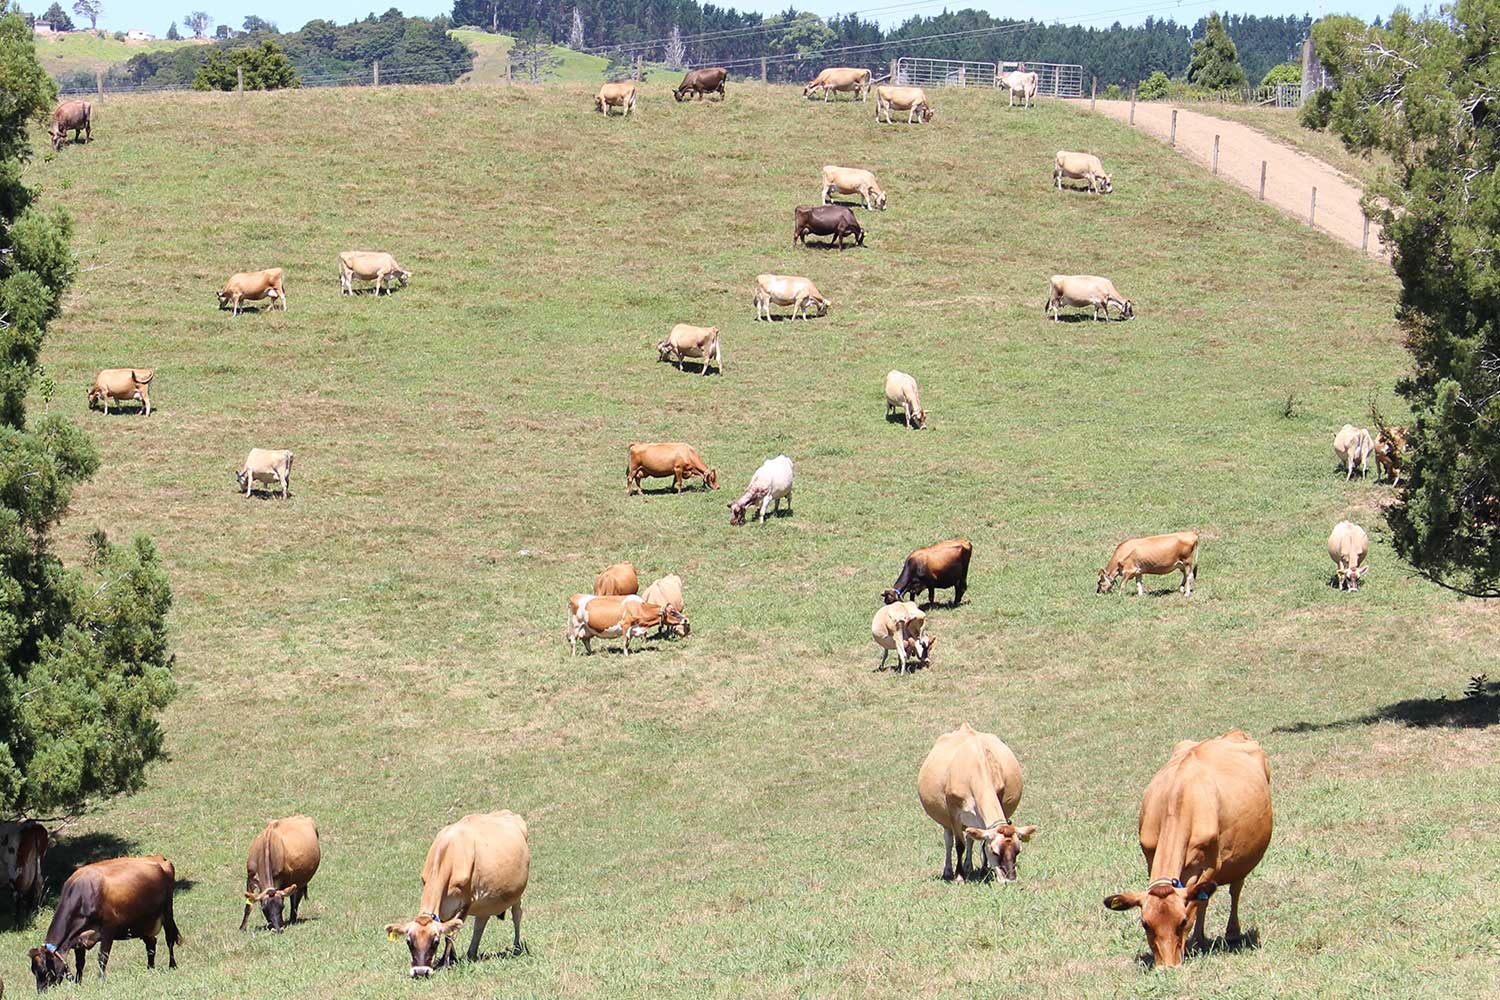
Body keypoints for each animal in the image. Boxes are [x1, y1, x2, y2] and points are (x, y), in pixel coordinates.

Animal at [27, 857, 180, 989]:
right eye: (34, 971)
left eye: (45, 971)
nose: (41, 992)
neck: (83, 895)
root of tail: (160, 859)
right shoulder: (78, 937)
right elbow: (79, 963)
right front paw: (78, 983)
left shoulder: (108, 928)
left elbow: (102, 957)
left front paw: (100, 980)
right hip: (143, 922)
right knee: (151, 944)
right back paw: (150, 968)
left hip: (167, 912)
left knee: (169, 939)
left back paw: (172, 965)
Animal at [1104, 731, 1278, 965]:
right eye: (1145, 924)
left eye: (1183, 921)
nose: (1167, 967)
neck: (1178, 799)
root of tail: (1234, 733)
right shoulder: (1150, 857)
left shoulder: (1210, 866)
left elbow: (1198, 903)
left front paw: (1195, 941)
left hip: (1241, 857)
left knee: (1235, 889)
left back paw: (1232, 933)